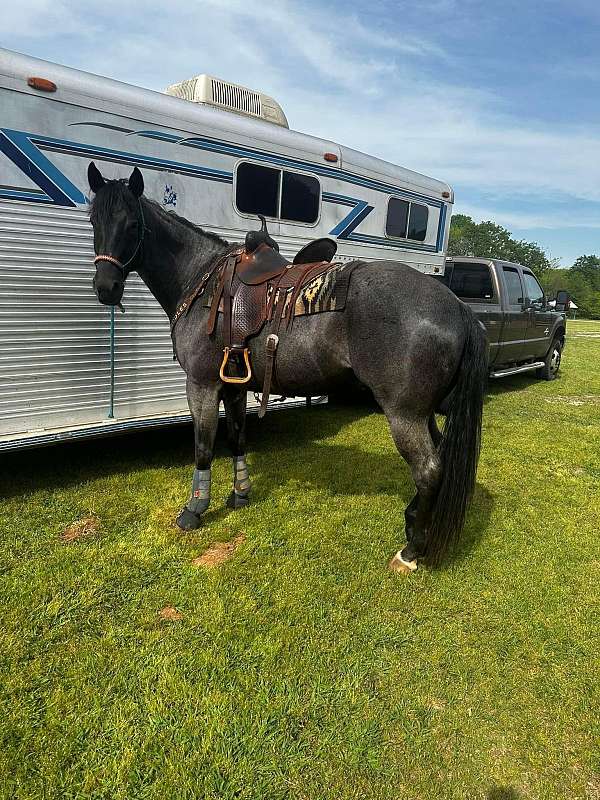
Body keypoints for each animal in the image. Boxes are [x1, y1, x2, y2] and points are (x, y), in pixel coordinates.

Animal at [85, 164, 488, 576]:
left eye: (133, 224)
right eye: (94, 219)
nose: (105, 287)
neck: (203, 284)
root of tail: (457, 307)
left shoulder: (202, 385)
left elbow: (203, 447)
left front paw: (194, 510)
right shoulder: (234, 385)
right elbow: (237, 439)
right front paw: (240, 495)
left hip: (405, 414)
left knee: (428, 470)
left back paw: (411, 549)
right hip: (426, 412)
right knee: (439, 460)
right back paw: (413, 524)